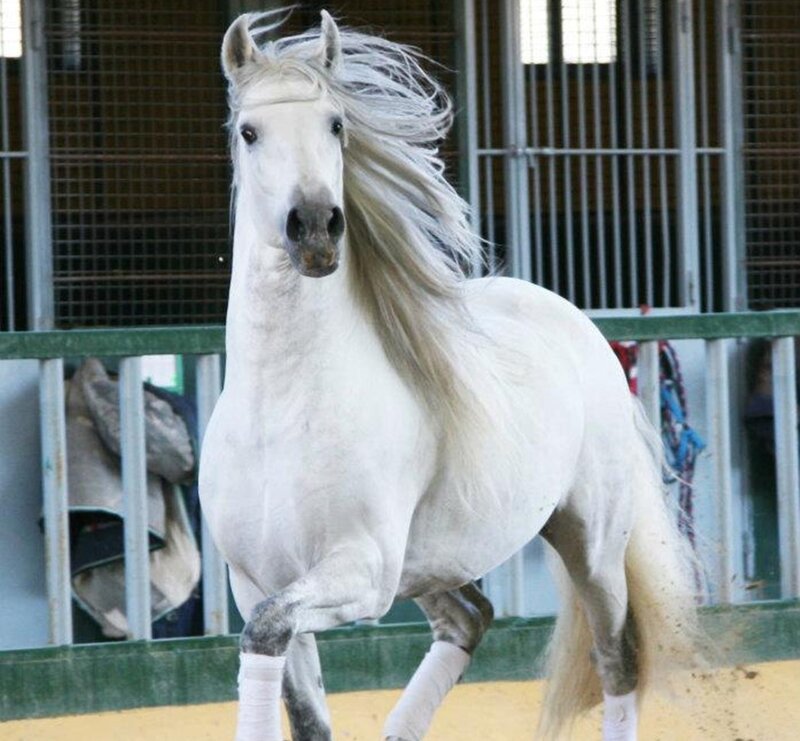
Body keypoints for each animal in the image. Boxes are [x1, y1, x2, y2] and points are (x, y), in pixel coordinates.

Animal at [199, 9, 700, 740]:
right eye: (249, 131)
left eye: (336, 124)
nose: (315, 228)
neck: (284, 409)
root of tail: (576, 326)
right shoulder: (255, 579)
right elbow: (298, 697)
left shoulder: (361, 571)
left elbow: (266, 631)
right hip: (434, 562)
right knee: (469, 619)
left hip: (592, 544)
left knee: (616, 659)